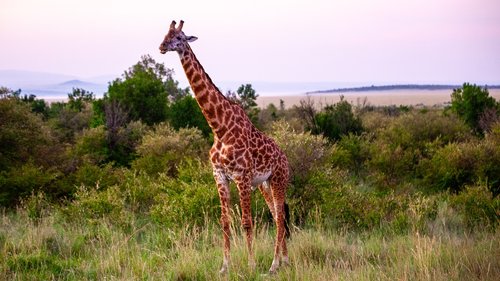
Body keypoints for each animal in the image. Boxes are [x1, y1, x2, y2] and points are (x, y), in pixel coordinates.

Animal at [160, 20, 290, 274]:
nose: (161, 47)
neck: (219, 128)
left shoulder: (242, 176)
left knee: (280, 218)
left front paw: (251, 265)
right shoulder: (219, 176)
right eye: (164, 34)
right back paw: (284, 260)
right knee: (275, 214)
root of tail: (285, 158)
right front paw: (224, 267)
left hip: (279, 179)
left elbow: (247, 223)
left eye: (179, 37)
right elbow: (225, 222)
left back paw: (273, 265)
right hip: (265, 184)